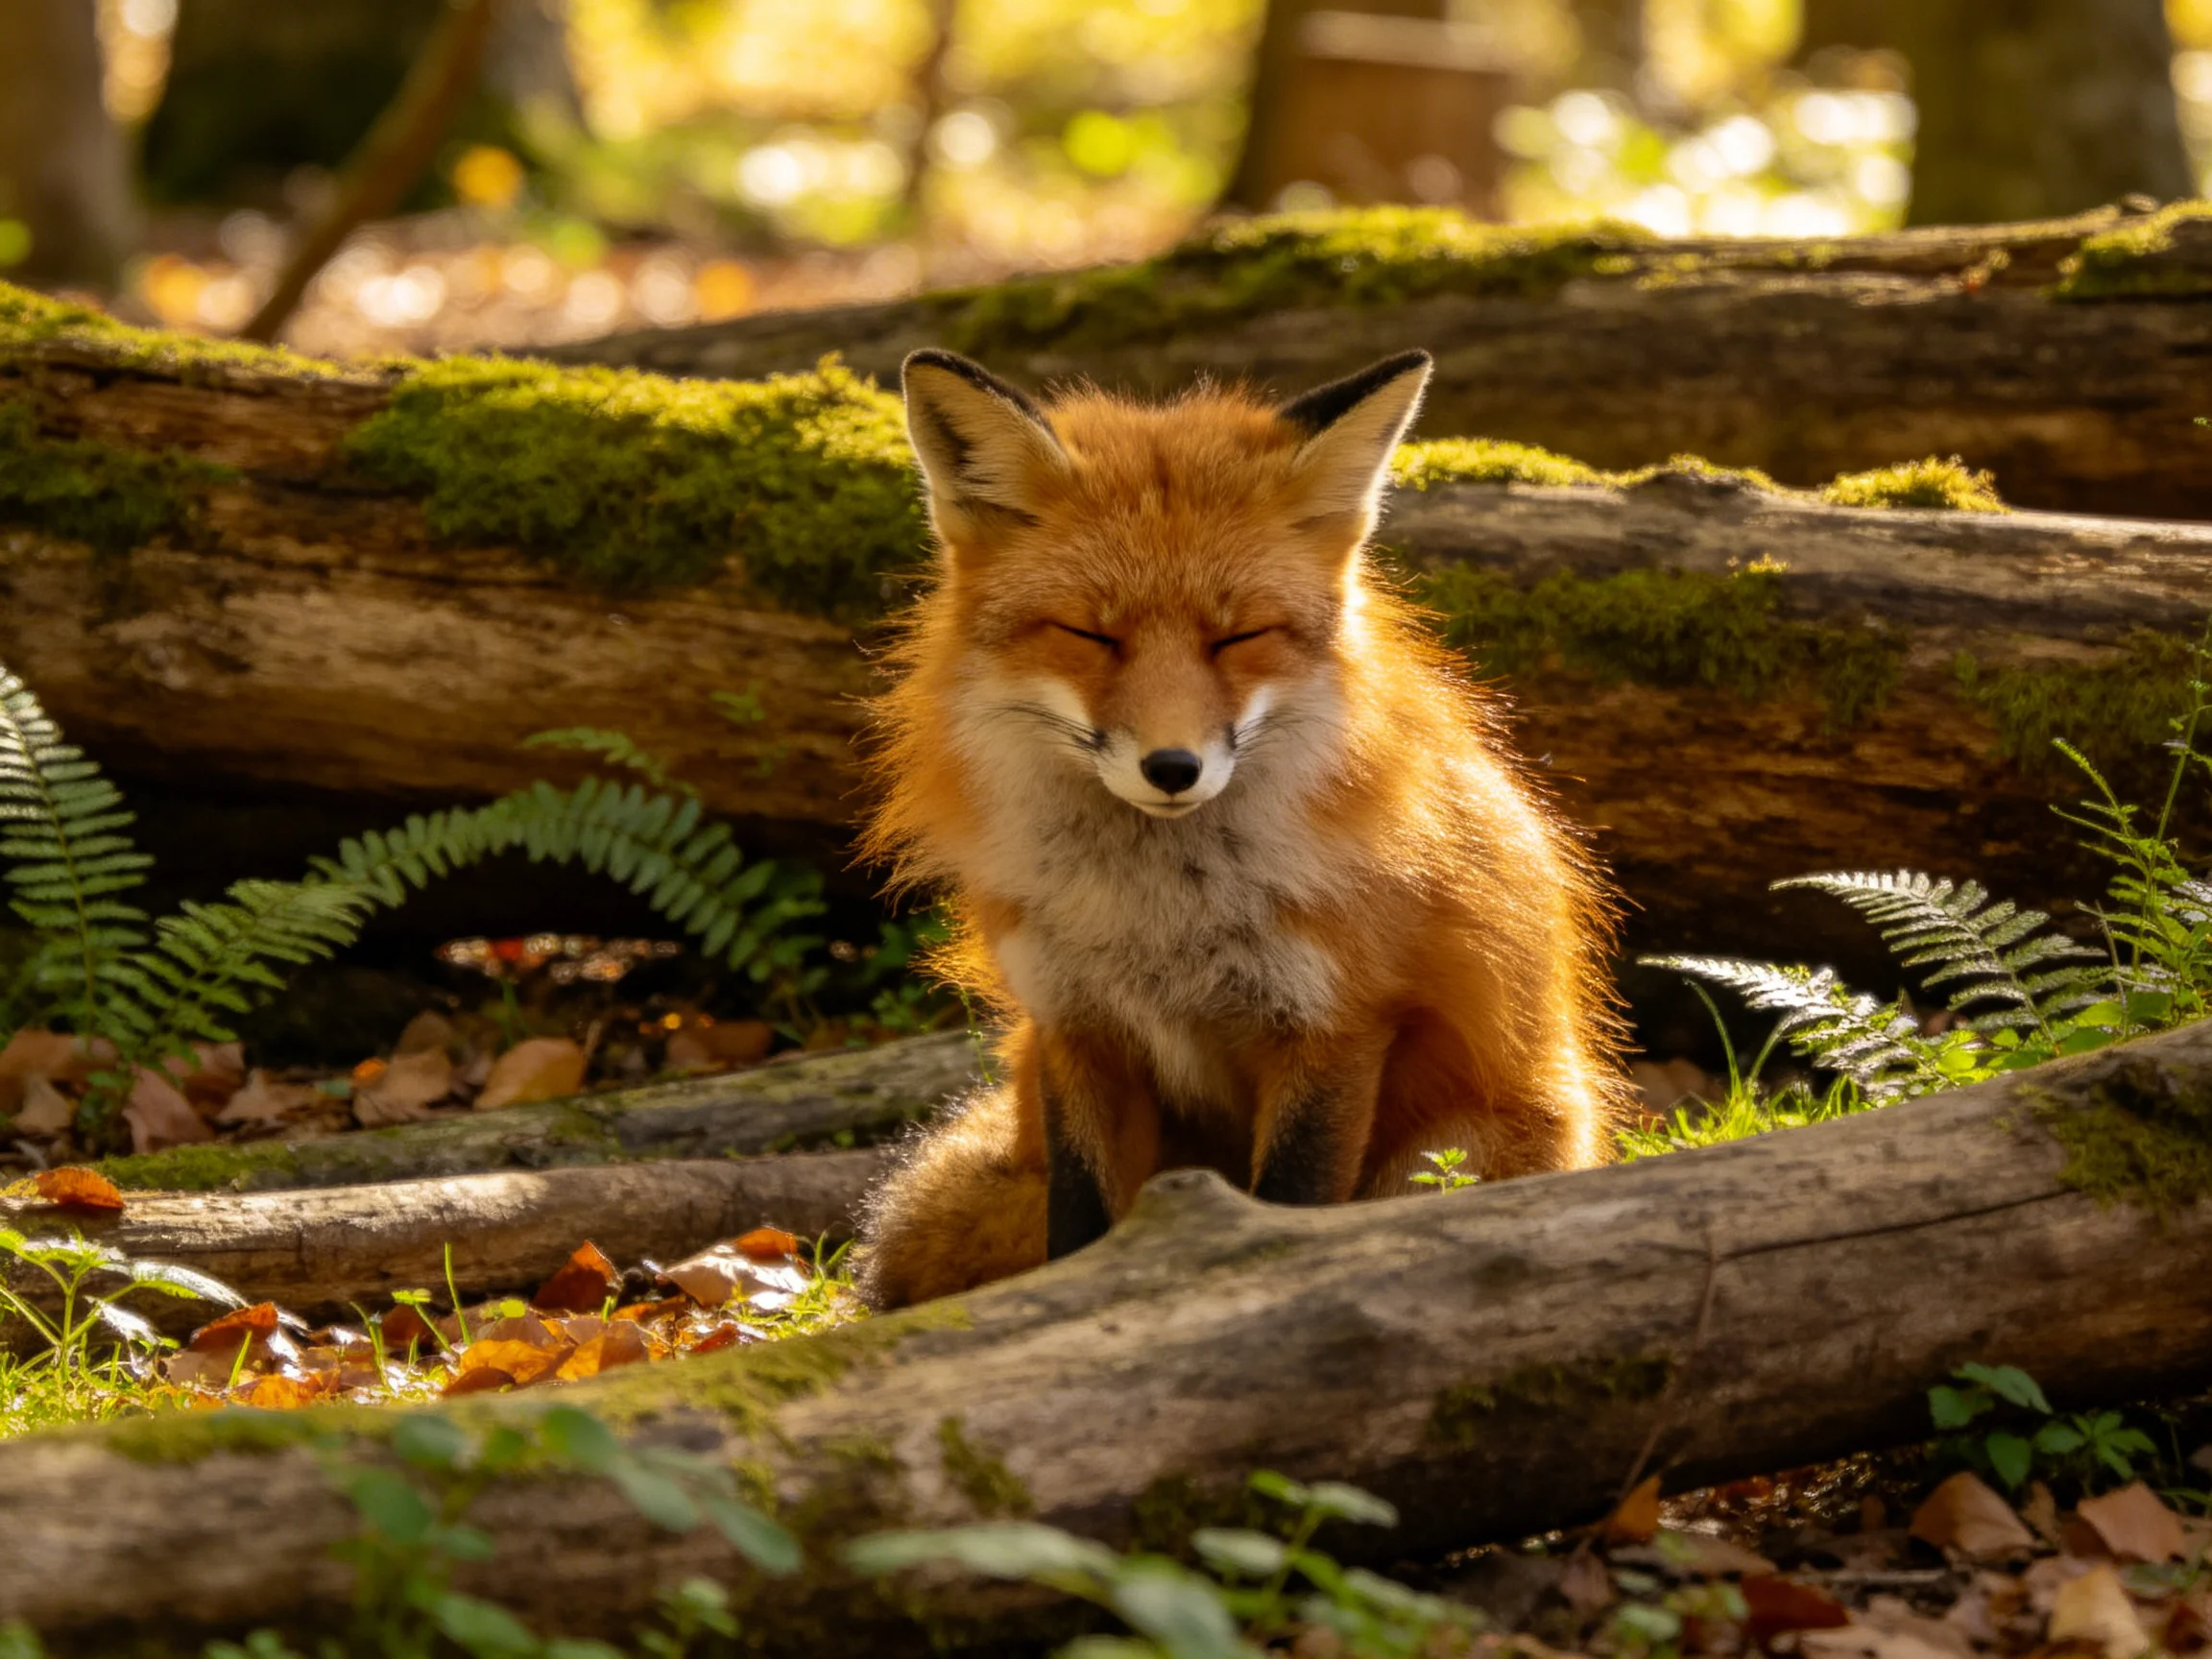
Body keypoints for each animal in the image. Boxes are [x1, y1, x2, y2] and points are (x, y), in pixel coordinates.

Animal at [852, 345, 1633, 1309]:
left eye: (1238, 638)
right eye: (1091, 635)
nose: (1172, 768)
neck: (1157, 918)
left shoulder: (1336, 1028)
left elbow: (1289, 1205)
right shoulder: (1077, 1029)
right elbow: (1078, 1230)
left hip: (1451, 1151)